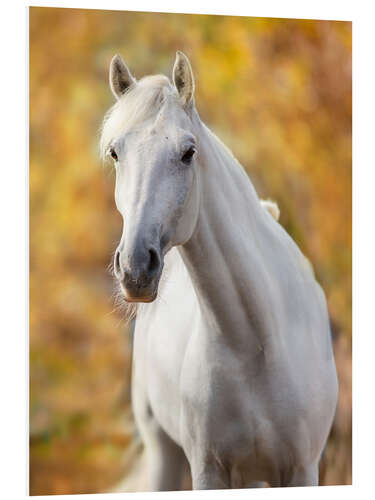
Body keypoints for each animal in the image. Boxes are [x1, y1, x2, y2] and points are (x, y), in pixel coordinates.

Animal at [100, 52, 338, 490]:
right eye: (115, 153)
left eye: (188, 153)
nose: (135, 268)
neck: (256, 343)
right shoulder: (208, 469)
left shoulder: (302, 469)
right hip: (164, 453)